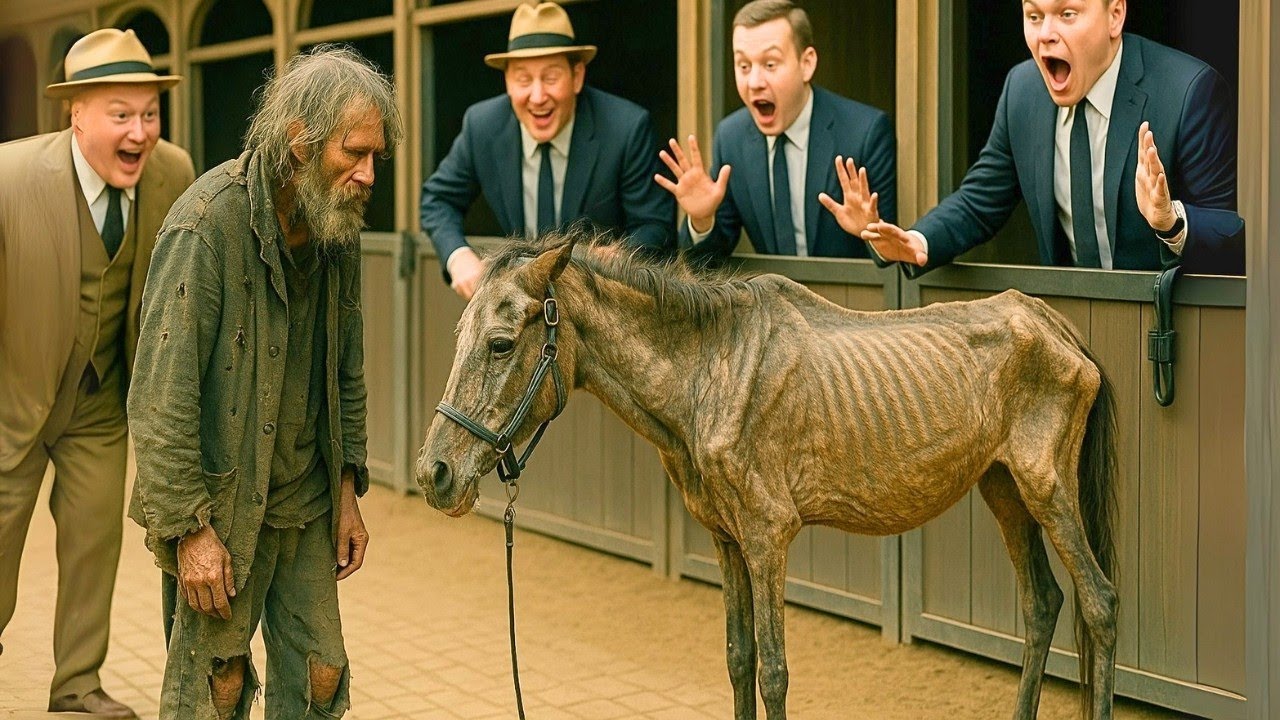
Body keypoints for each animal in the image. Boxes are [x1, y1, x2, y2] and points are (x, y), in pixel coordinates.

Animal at [416, 232, 1118, 720]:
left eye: (501, 343)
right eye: (460, 336)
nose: (434, 473)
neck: (711, 371)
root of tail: (1053, 323)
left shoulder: (767, 538)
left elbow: (774, 671)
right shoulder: (728, 540)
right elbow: (738, 659)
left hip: (1048, 490)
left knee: (1100, 603)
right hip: (1004, 491)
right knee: (1042, 606)